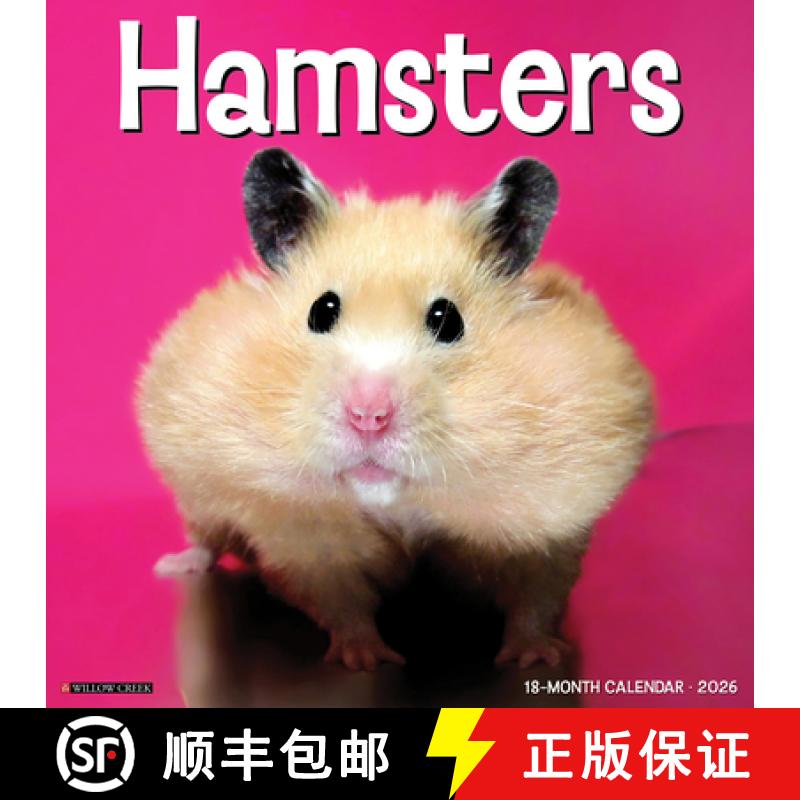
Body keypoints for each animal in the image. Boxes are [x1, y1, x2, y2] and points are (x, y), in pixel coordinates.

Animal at [136, 148, 653, 671]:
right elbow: (339, 600)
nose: (369, 416)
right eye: (321, 311)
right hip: (198, 495)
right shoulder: (307, 541)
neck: (401, 502)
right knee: (206, 536)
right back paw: (173, 566)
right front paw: (367, 659)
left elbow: (537, 597)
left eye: (448, 320)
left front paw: (536, 658)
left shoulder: (547, 529)